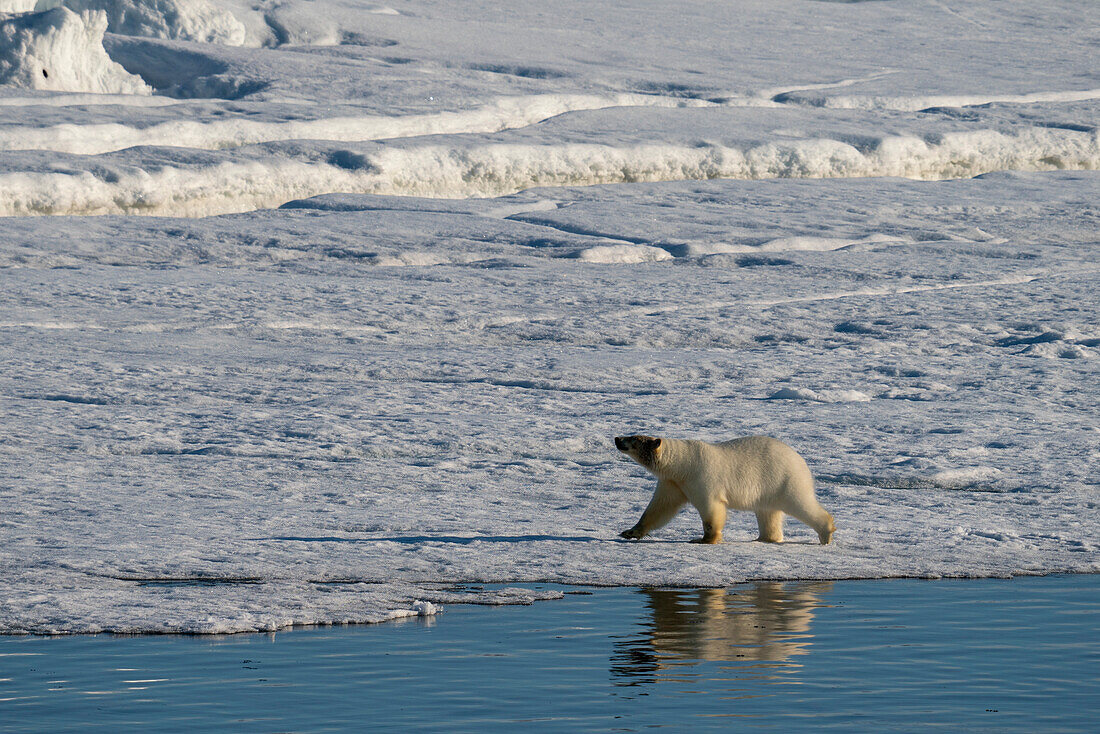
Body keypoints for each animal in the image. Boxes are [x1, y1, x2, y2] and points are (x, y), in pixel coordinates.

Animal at [620, 435, 831, 545]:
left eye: (632, 439)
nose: (616, 438)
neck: (684, 463)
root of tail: (800, 459)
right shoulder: (673, 483)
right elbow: (659, 508)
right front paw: (630, 532)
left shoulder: (702, 477)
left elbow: (712, 509)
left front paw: (703, 539)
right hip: (768, 489)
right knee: (767, 512)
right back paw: (765, 538)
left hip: (783, 478)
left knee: (800, 504)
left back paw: (826, 533)